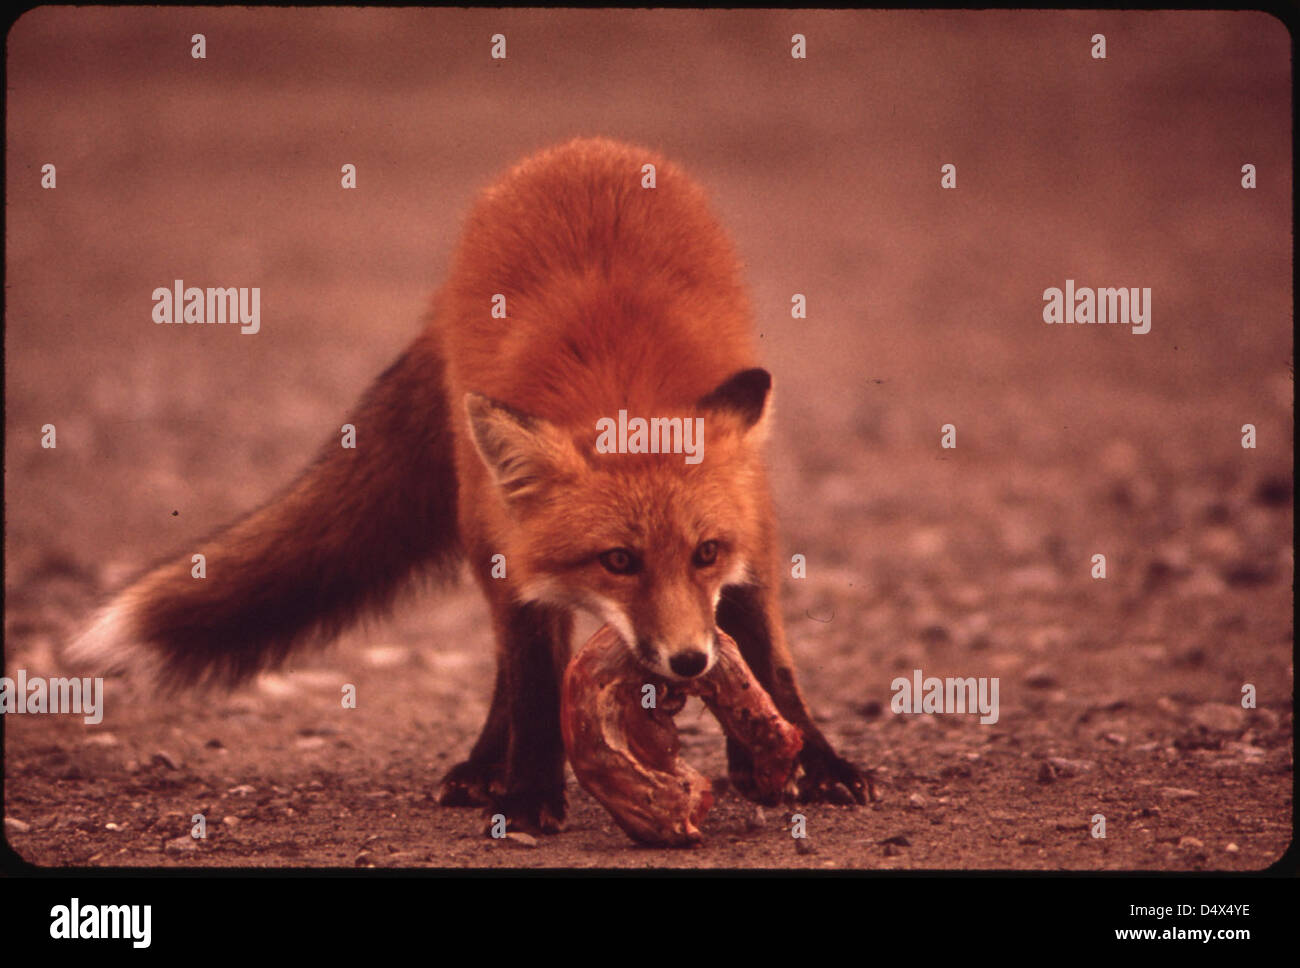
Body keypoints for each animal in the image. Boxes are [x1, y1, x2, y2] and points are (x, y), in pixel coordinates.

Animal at [68, 133, 863, 831]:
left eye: (704, 553)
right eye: (618, 561)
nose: (688, 660)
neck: (625, 389)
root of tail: (582, 146)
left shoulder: (752, 541)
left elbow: (769, 658)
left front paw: (812, 761)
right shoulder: (516, 567)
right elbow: (534, 689)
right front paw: (529, 796)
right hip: (487, 532)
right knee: (508, 674)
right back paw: (486, 767)